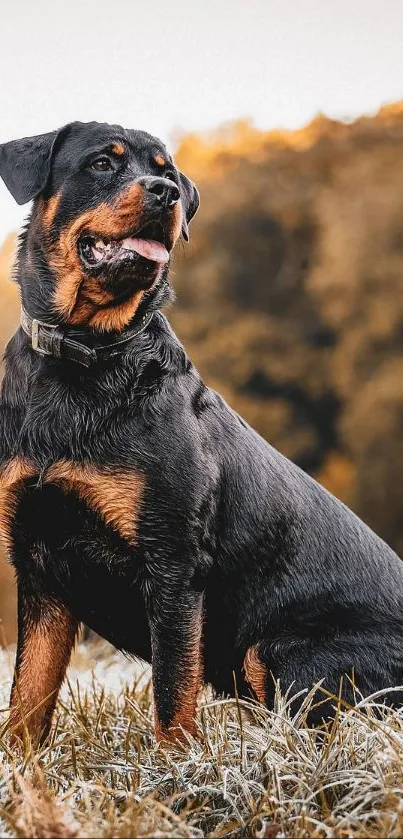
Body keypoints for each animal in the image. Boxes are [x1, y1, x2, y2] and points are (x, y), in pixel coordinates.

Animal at [0, 120, 403, 748]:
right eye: (102, 164)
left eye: (166, 171)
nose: (166, 191)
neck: (87, 355)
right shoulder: (40, 563)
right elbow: (27, 699)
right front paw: (21, 770)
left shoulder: (173, 564)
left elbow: (172, 696)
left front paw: (173, 767)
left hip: (283, 650)